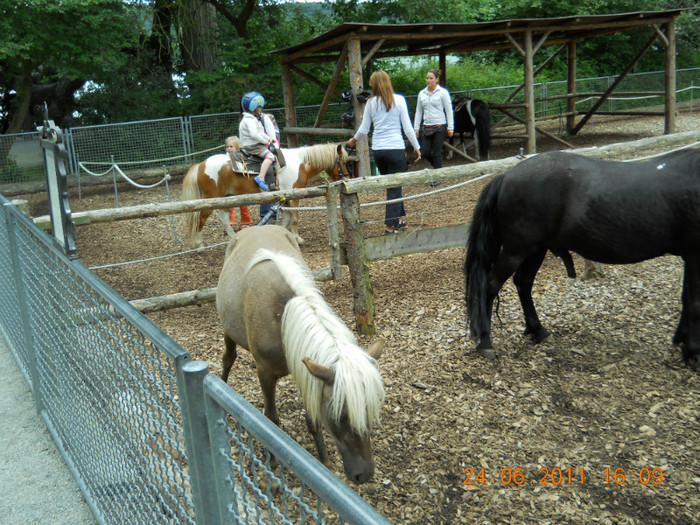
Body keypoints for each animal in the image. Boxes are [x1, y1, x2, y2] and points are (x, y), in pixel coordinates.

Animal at [180, 142, 350, 249]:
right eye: (342, 161)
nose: (347, 177)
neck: (301, 163)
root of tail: (201, 165)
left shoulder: (284, 198)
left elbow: (286, 218)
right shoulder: (294, 196)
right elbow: (294, 218)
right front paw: (298, 238)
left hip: (224, 199)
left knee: (224, 219)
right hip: (210, 201)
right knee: (200, 219)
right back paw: (199, 245)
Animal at [216, 225, 386, 484]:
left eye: (370, 409)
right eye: (340, 417)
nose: (363, 474)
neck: (283, 317)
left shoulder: (307, 372)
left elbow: (313, 420)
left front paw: (323, 461)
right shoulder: (265, 373)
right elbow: (271, 419)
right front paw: (272, 464)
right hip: (228, 331)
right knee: (228, 359)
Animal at [464, 147, 700, 368]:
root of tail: (507, 176)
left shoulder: (690, 256)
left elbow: (686, 298)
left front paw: (682, 340)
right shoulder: (695, 255)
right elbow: (694, 302)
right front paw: (692, 352)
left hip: (535, 249)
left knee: (523, 283)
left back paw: (537, 330)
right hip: (517, 250)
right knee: (490, 286)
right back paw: (486, 342)